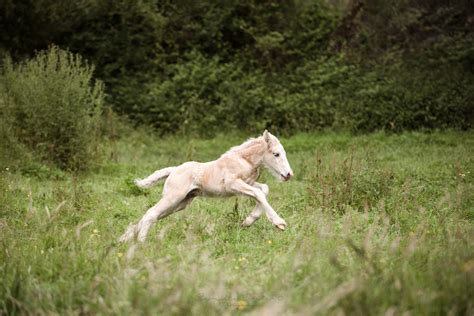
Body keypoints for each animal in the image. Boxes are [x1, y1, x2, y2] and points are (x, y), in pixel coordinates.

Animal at [119, 130, 292, 242]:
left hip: (180, 203)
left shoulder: (248, 183)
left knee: (151, 215)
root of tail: (173, 170)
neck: (243, 160)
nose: (289, 174)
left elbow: (263, 190)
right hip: (173, 198)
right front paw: (279, 223)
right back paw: (141, 243)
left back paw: (124, 239)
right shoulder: (233, 184)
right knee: (151, 213)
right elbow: (259, 193)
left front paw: (248, 221)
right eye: (276, 154)